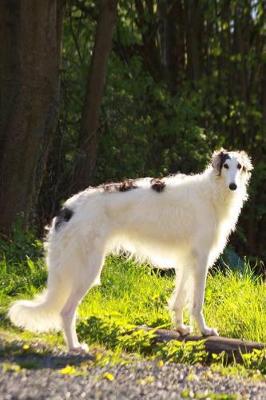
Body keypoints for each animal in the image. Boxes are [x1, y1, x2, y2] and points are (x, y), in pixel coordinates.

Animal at [8, 149, 252, 350]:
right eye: (226, 166)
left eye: (239, 166)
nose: (233, 186)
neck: (211, 193)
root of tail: (68, 209)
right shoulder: (201, 259)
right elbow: (197, 302)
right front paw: (205, 331)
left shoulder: (186, 260)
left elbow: (178, 301)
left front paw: (181, 329)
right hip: (88, 270)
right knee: (66, 311)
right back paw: (75, 347)